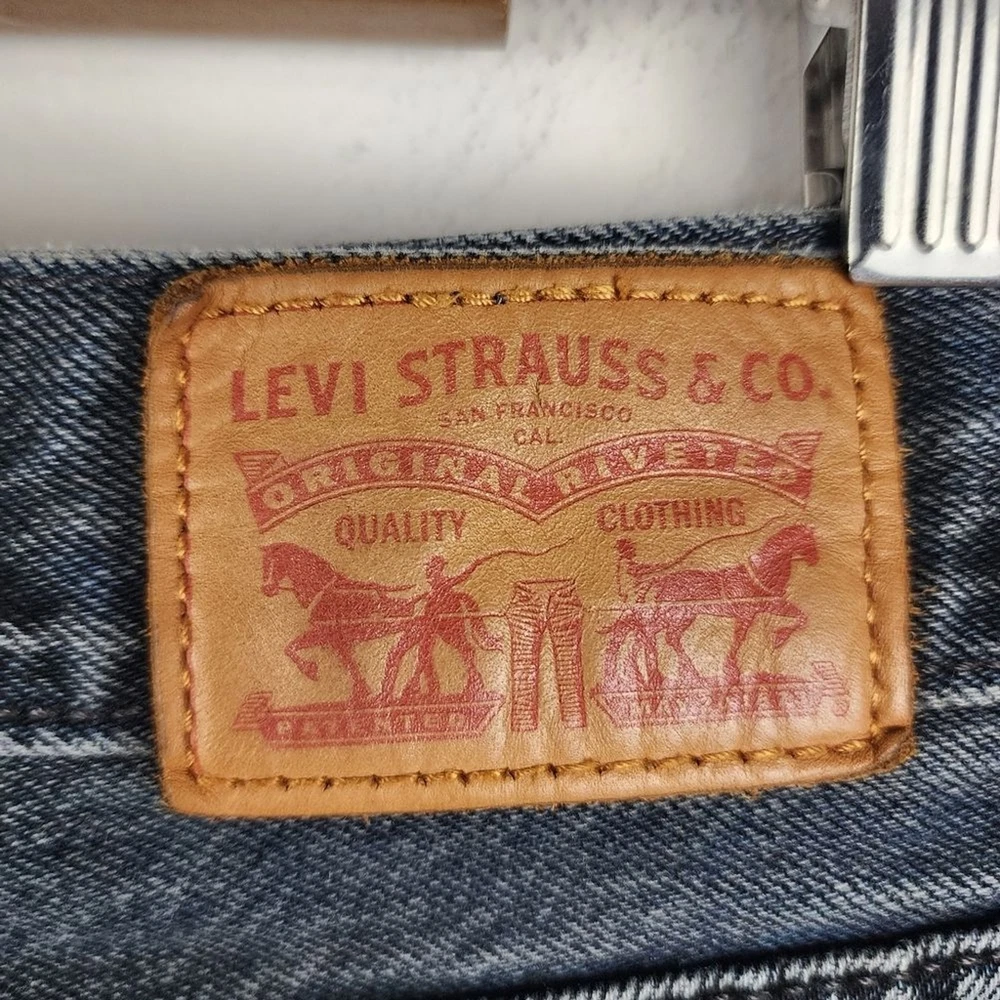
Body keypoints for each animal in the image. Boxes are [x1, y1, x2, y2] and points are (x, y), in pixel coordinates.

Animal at [261, 542, 415, 702]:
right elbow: (291, 647)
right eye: (264, 565)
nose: (267, 588)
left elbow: (348, 663)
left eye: (278, 563)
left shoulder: (332, 636)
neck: (325, 593)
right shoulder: (328, 637)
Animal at [604, 524, 818, 688]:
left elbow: (801, 616)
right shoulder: (746, 615)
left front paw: (779, 638)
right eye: (809, 541)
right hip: (675, 614)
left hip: (683, 616)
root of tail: (663, 580)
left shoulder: (770, 606)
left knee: (657, 635)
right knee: (646, 632)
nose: (814, 559)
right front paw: (731, 671)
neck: (758, 575)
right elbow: (739, 639)